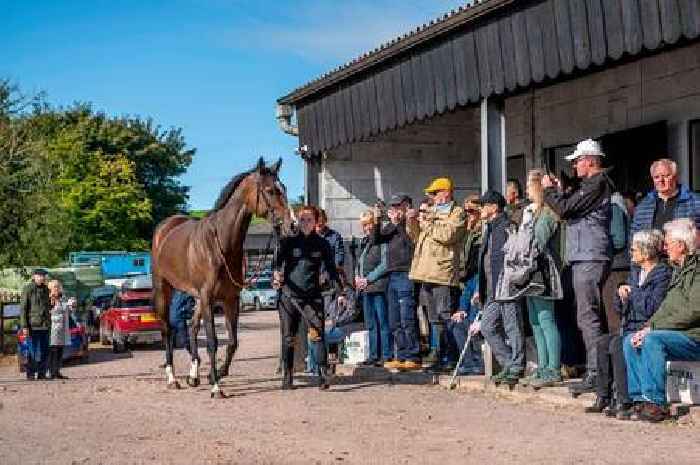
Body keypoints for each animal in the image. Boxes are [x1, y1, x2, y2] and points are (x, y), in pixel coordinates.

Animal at [153, 158, 292, 396]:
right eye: (270, 191)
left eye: (283, 188)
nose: (291, 224)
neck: (221, 244)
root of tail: (165, 228)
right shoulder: (209, 298)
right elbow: (212, 342)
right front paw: (216, 387)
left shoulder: (230, 299)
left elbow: (233, 341)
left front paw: (214, 375)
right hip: (166, 289)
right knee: (167, 330)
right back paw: (172, 378)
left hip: (197, 297)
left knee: (192, 326)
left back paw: (193, 376)